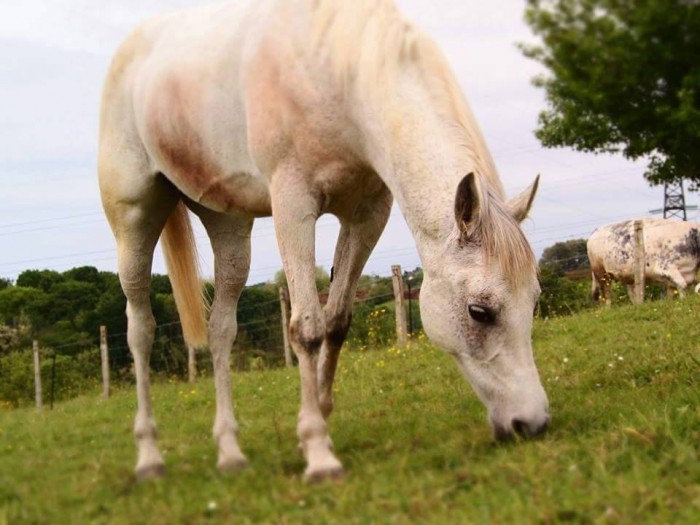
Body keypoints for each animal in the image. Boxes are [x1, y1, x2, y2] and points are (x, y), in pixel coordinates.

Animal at [100, 1, 548, 484]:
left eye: (533, 301)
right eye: (479, 312)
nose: (532, 423)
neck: (335, 71)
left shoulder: (367, 214)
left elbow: (336, 319)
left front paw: (318, 419)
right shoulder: (293, 205)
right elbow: (307, 328)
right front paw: (317, 452)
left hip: (228, 228)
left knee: (221, 330)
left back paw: (230, 452)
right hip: (135, 221)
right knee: (140, 330)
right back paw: (149, 457)